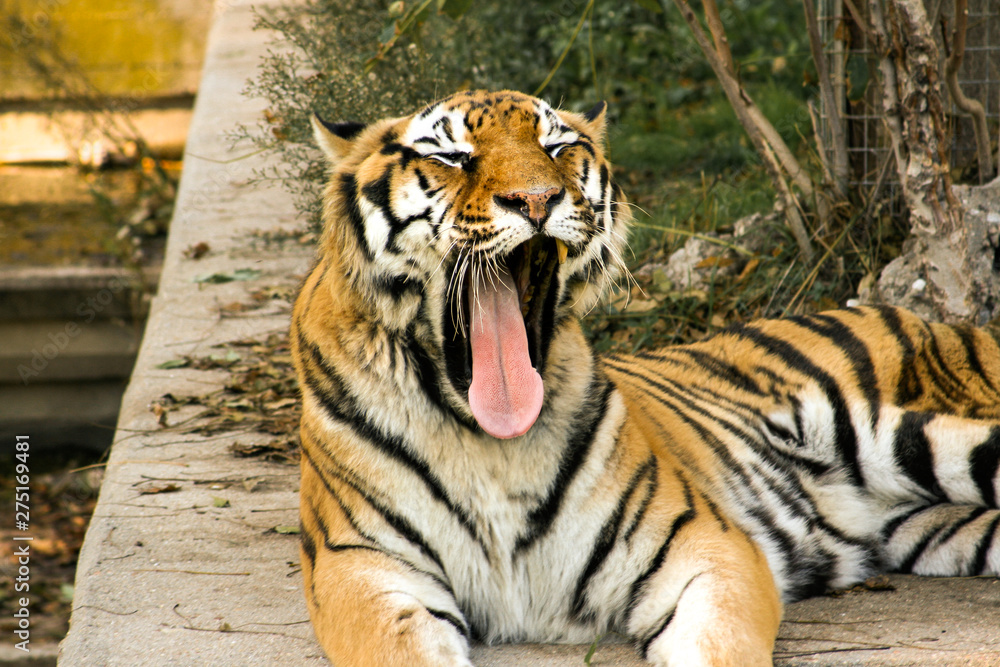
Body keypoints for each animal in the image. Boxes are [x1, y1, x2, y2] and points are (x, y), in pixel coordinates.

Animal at [290, 89, 1000, 667]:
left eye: (557, 147)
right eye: (454, 157)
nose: (537, 200)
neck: (492, 445)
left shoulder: (701, 547)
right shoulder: (363, 570)